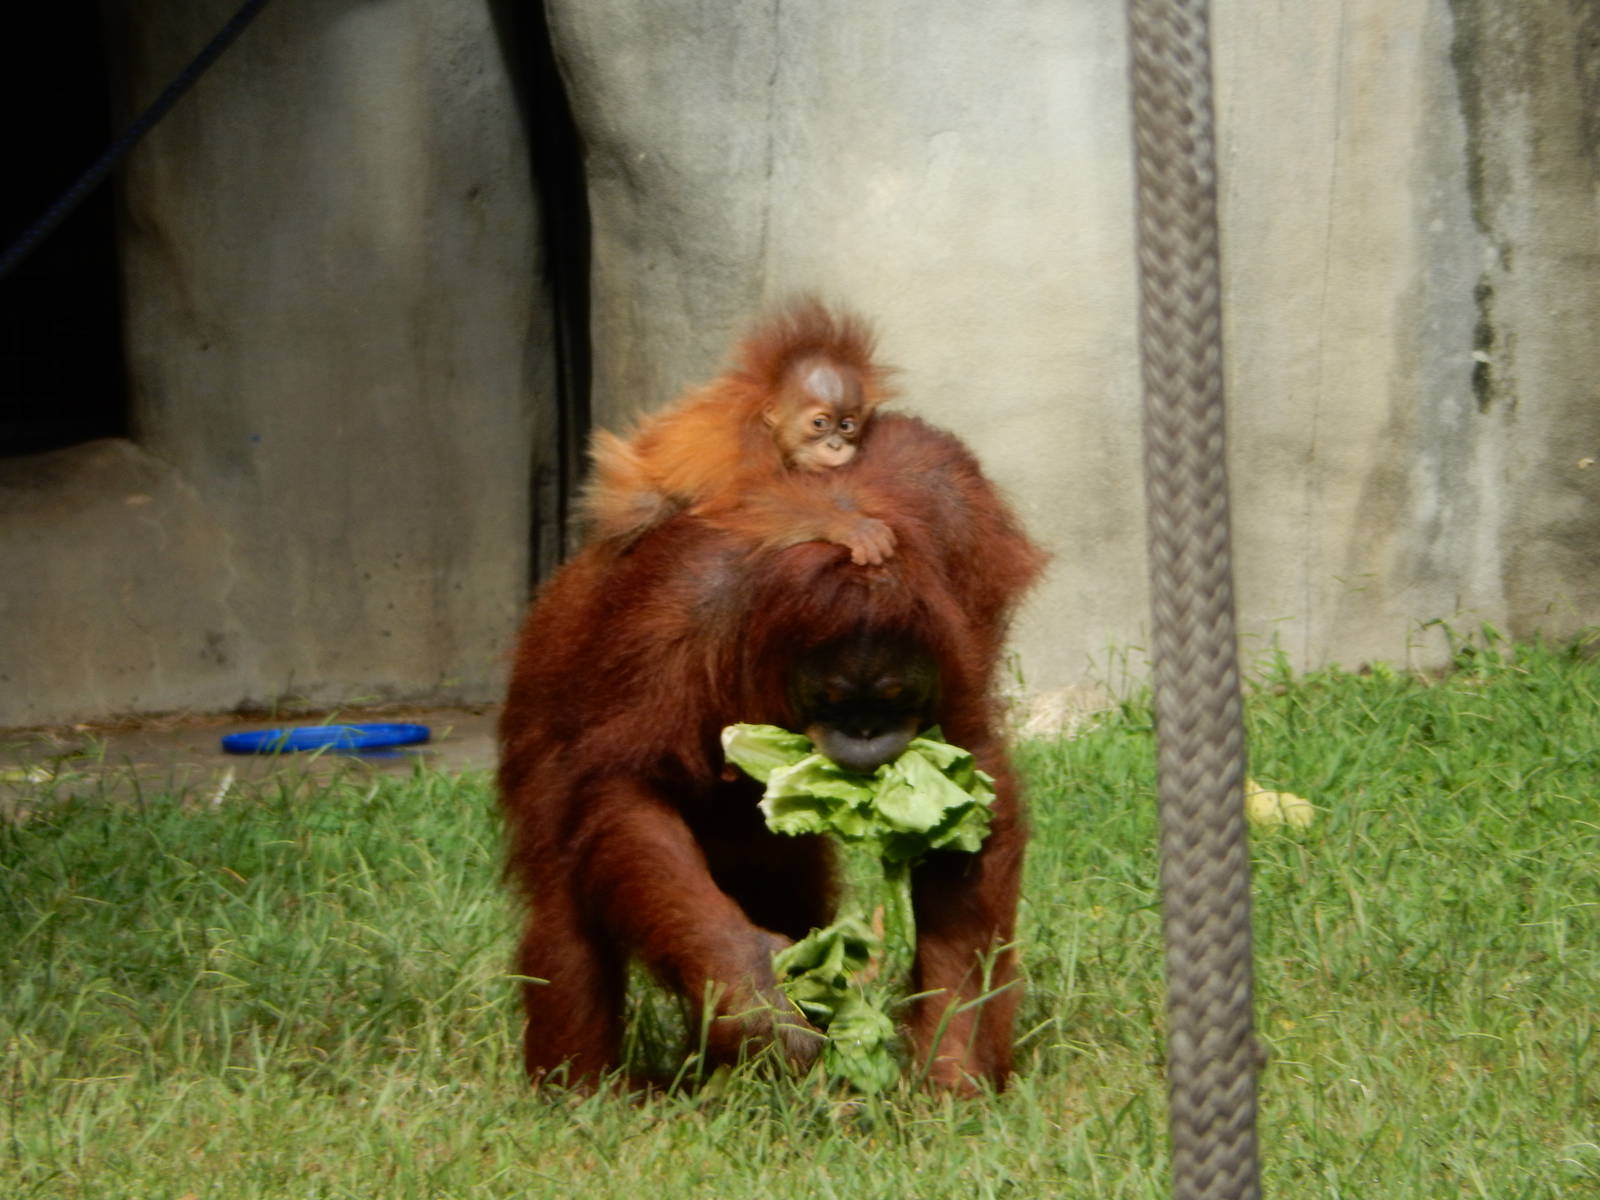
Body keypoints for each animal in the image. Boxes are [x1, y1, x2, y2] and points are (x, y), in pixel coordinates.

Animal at [581, 299, 898, 566]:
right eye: (820, 423)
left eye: (846, 426)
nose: (835, 446)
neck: (768, 425)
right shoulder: (748, 440)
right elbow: (741, 499)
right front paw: (847, 525)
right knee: (643, 505)